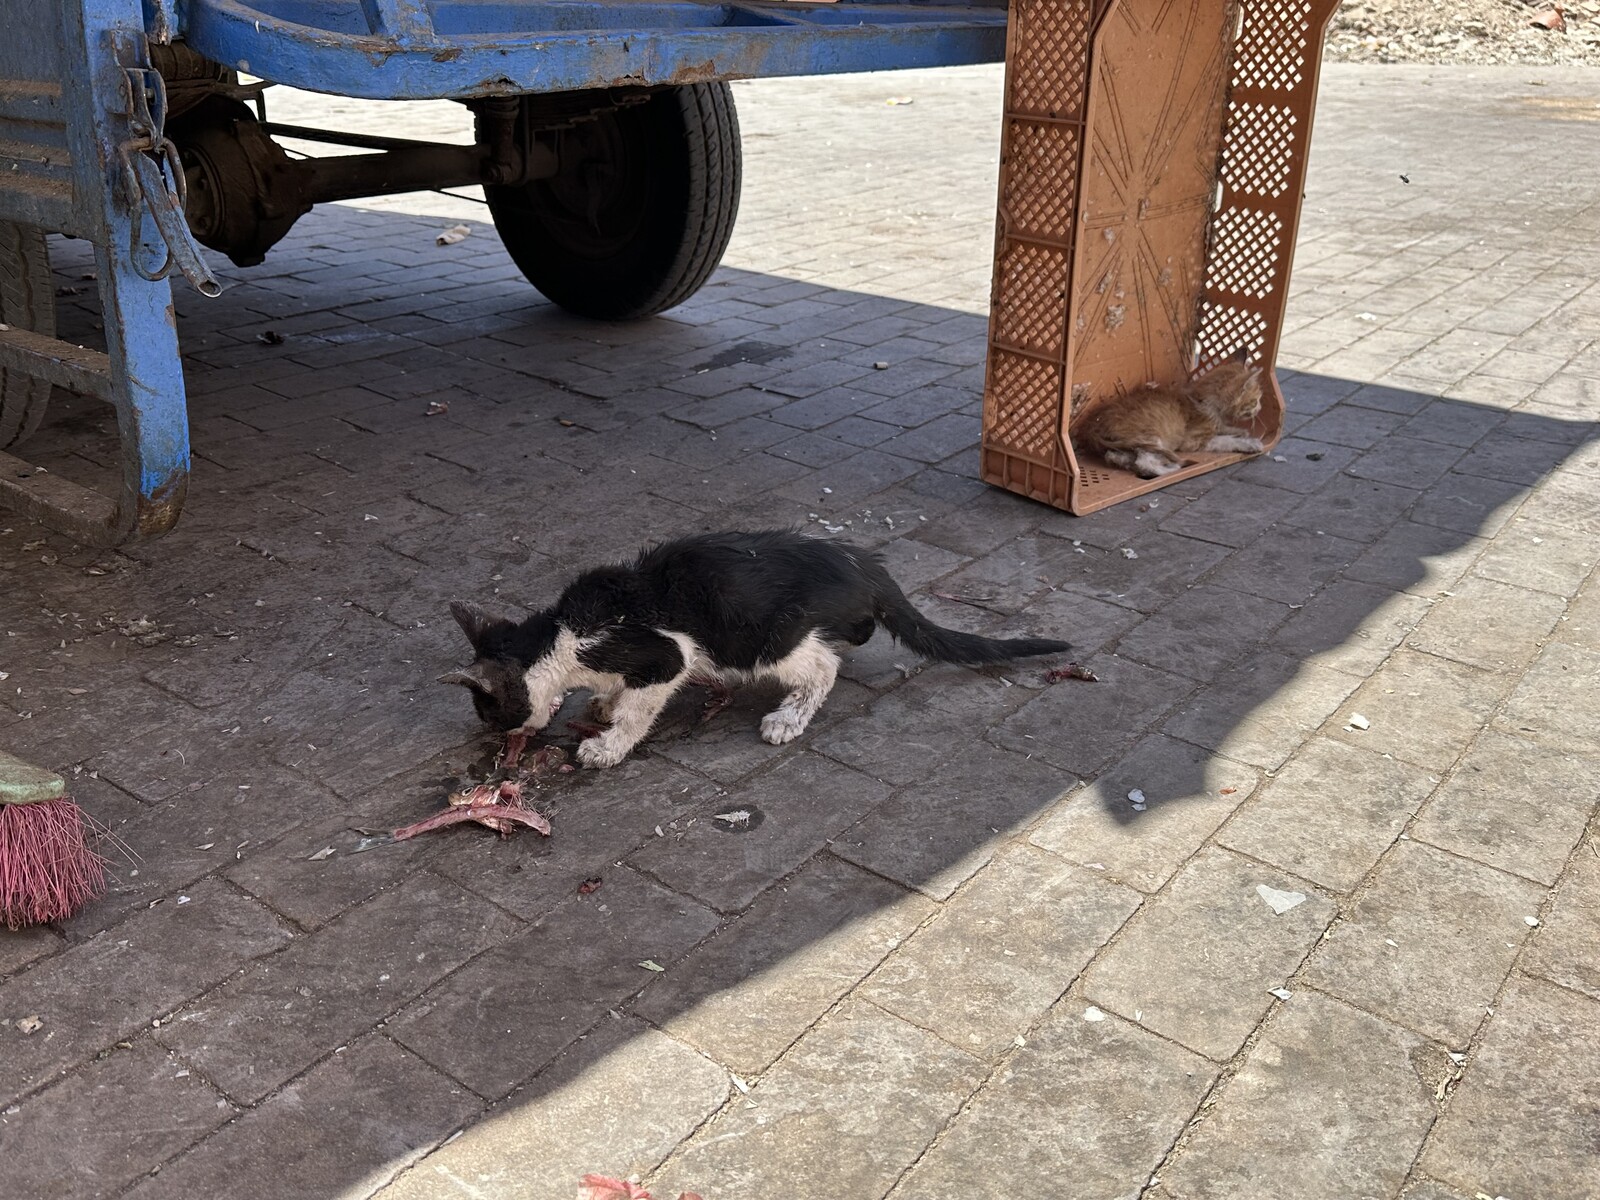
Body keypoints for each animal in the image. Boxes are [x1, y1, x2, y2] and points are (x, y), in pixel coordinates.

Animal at [440, 529, 1072, 769]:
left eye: (490, 714)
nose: (499, 739)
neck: (561, 635)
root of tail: (864, 564)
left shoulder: (661, 655)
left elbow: (641, 706)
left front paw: (608, 742)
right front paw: (601, 705)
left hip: (767, 637)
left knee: (824, 664)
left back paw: (788, 717)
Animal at [1075, 359, 1265, 478]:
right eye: (1255, 401)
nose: (1260, 409)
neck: (1202, 398)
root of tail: (1092, 427)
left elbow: (1225, 430)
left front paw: (1240, 432)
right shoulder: (1193, 441)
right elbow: (1223, 440)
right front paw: (1249, 443)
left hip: (1127, 445)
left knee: (1116, 457)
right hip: (1151, 436)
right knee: (1143, 463)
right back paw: (1172, 469)